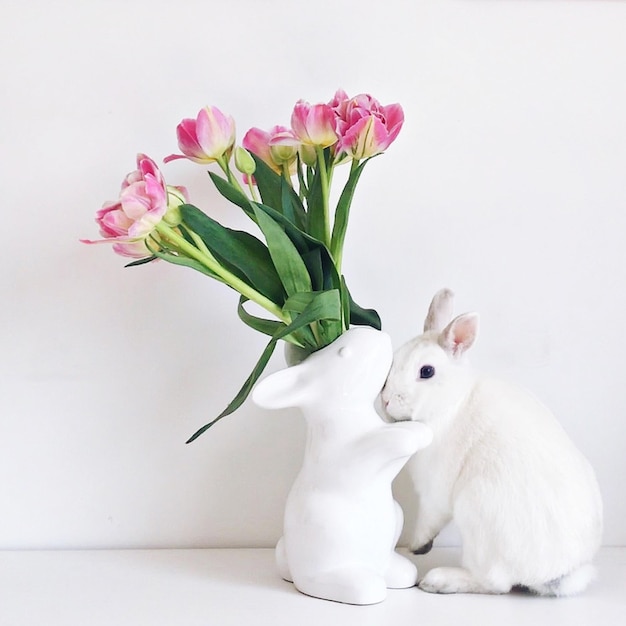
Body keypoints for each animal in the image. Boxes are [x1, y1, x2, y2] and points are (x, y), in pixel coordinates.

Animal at [251, 326, 432, 604]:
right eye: (343, 353)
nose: (374, 331)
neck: (350, 411)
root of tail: (291, 562)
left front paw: (423, 432)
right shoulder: (345, 458)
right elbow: (382, 444)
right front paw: (410, 436)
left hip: (395, 515)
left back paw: (399, 572)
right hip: (328, 533)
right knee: (315, 580)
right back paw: (360, 585)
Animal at [380, 288, 600, 596]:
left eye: (426, 372)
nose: (386, 400)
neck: (452, 402)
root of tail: (559, 573)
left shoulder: (434, 491)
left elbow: (428, 518)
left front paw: (417, 546)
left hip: (476, 511)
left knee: (495, 583)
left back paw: (438, 580)